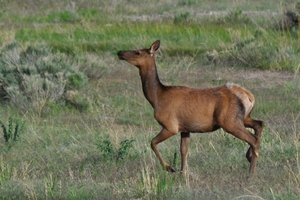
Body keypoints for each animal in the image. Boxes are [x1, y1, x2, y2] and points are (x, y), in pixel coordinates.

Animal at [116, 39, 264, 176]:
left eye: (137, 52)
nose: (119, 52)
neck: (157, 97)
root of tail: (249, 96)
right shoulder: (185, 128)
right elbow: (183, 150)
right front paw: (183, 173)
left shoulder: (171, 126)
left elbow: (153, 142)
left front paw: (170, 168)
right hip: (243, 117)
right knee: (259, 124)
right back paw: (249, 156)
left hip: (229, 120)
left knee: (253, 138)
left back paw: (250, 172)